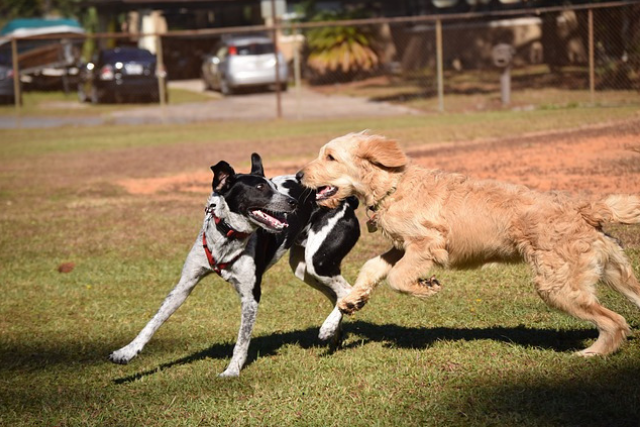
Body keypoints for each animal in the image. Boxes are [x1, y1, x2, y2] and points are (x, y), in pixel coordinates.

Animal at [110, 154, 360, 378]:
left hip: (318, 262)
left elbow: (242, 340)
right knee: (337, 296)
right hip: (304, 269)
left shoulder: (251, 296)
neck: (228, 236)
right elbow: (154, 321)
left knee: (346, 291)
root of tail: (349, 201)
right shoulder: (184, 286)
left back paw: (328, 328)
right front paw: (126, 352)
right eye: (260, 187)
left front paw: (231, 371)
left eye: (274, 186)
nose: (295, 202)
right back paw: (334, 335)